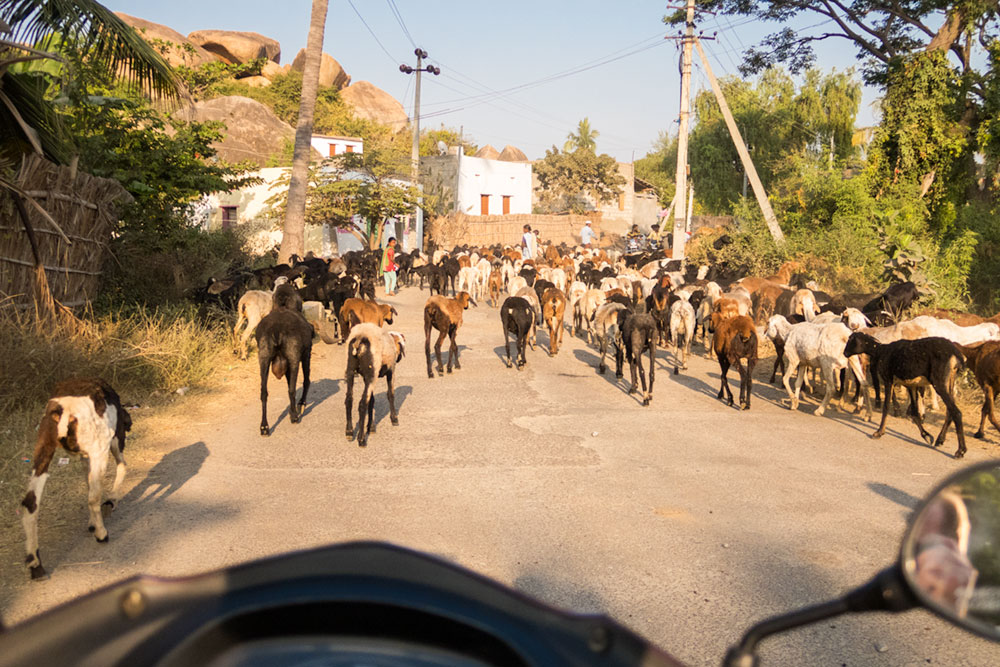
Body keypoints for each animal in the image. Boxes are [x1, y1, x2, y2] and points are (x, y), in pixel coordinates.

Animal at [20, 380, 131, 580]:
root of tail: (65, 410)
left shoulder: (86, 456)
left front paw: (93, 522)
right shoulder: (108, 444)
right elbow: (121, 467)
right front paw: (109, 504)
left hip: (44, 448)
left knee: (30, 502)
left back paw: (35, 564)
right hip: (99, 449)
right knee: (94, 497)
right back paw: (102, 534)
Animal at [256, 284, 310, 436]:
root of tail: (276, 330)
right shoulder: (305, 354)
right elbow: (305, 381)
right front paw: (301, 404)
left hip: (264, 359)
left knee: (264, 393)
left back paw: (264, 426)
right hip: (294, 358)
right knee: (292, 389)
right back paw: (294, 416)